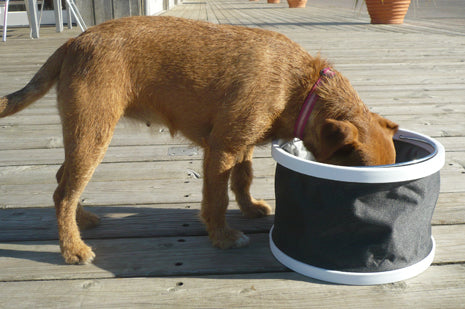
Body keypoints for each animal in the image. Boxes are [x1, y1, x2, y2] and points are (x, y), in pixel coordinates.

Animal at [0, 15, 396, 264]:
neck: (302, 86)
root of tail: (73, 41)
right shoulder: (221, 150)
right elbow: (217, 199)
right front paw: (222, 237)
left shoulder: (241, 144)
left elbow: (243, 179)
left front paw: (249, 208)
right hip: (93, 132)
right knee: (65, 192)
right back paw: (72, 248)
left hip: (84, 134)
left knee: (62, 182)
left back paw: (81, 220)